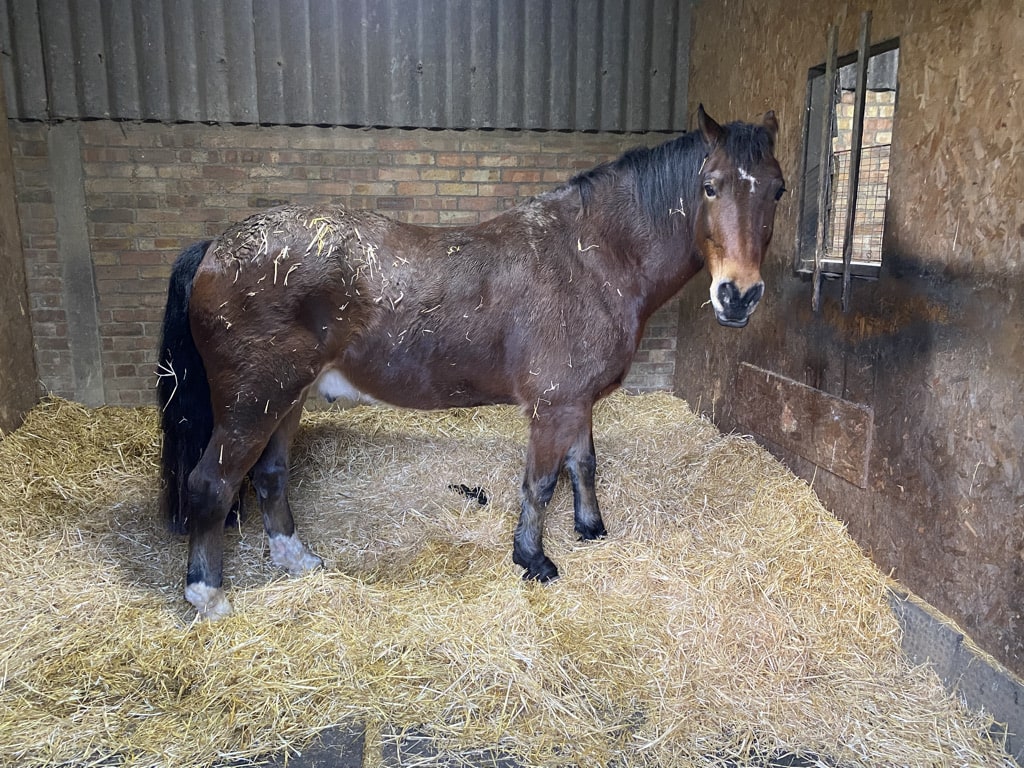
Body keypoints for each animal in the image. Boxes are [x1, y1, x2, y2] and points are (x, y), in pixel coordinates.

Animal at [157, 106, 785, 620]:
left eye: (777, 191)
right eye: (709, 187)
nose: (739, 296)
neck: (591, 259)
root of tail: (214, 248)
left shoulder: (576, 402)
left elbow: (583, 464)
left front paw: (591, 529)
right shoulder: (553, 407)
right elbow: (541, 483)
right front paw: (533, 559)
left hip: (286, 400)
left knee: (269, 476)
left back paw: (296, 560)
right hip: (253, 404)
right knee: (212, 484)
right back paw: (208, 596)